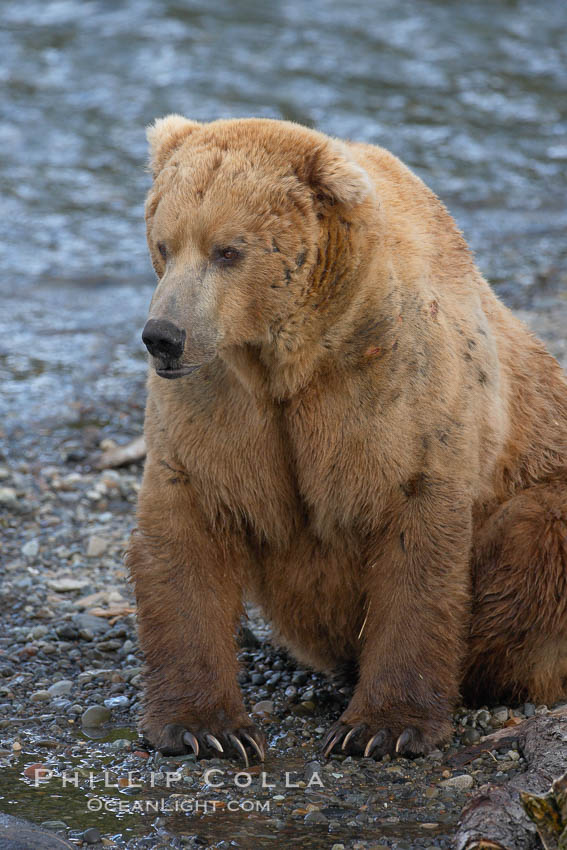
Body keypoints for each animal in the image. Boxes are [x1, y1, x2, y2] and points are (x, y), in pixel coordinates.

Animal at [127, 114, 567, 760]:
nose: (163, 336)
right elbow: (188, 527)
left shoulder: (392, 390)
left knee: (531, 538)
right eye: (165, 243)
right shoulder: (222, 406)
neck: (290, 361)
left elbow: (416, 541)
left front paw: (381, 727)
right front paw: (207, 727)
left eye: (228, 250)